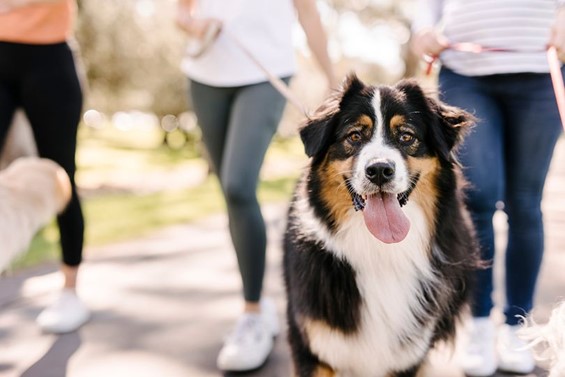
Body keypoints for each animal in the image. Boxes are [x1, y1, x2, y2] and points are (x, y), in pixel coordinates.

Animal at [282, 75, 480, 374]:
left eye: (406, 136)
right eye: (354, 136)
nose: (379, 170)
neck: (379, 250)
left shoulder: (407, 357)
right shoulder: (312, 347)